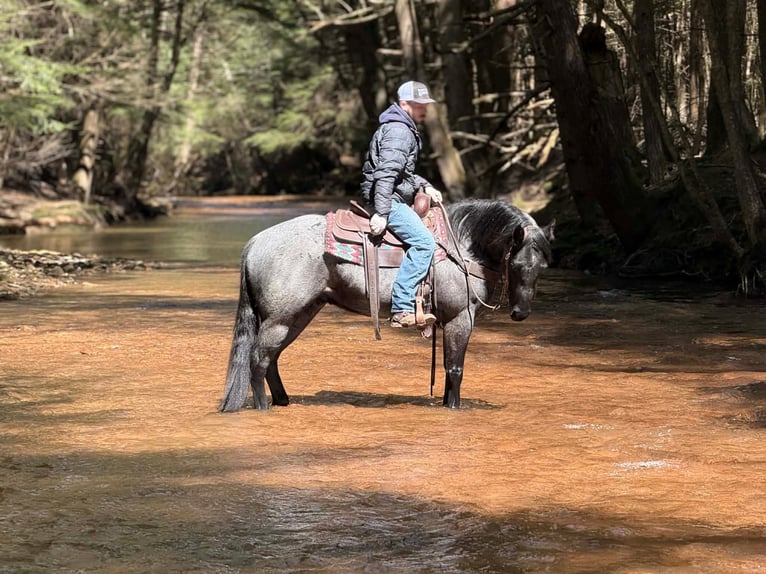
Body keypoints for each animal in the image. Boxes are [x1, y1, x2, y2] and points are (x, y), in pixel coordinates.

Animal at [219, 198, 554, 411]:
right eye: (518, 264)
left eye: (542, 267)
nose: (520, 313)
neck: (463, 247)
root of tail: (256, 242)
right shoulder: (461, 318)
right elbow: (455, 369)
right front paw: (455, 408)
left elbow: (449, 371)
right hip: (280, 318)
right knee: (258, 360)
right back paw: (263, 408)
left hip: (299, 315)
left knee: (271, 359)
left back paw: (283, 401)